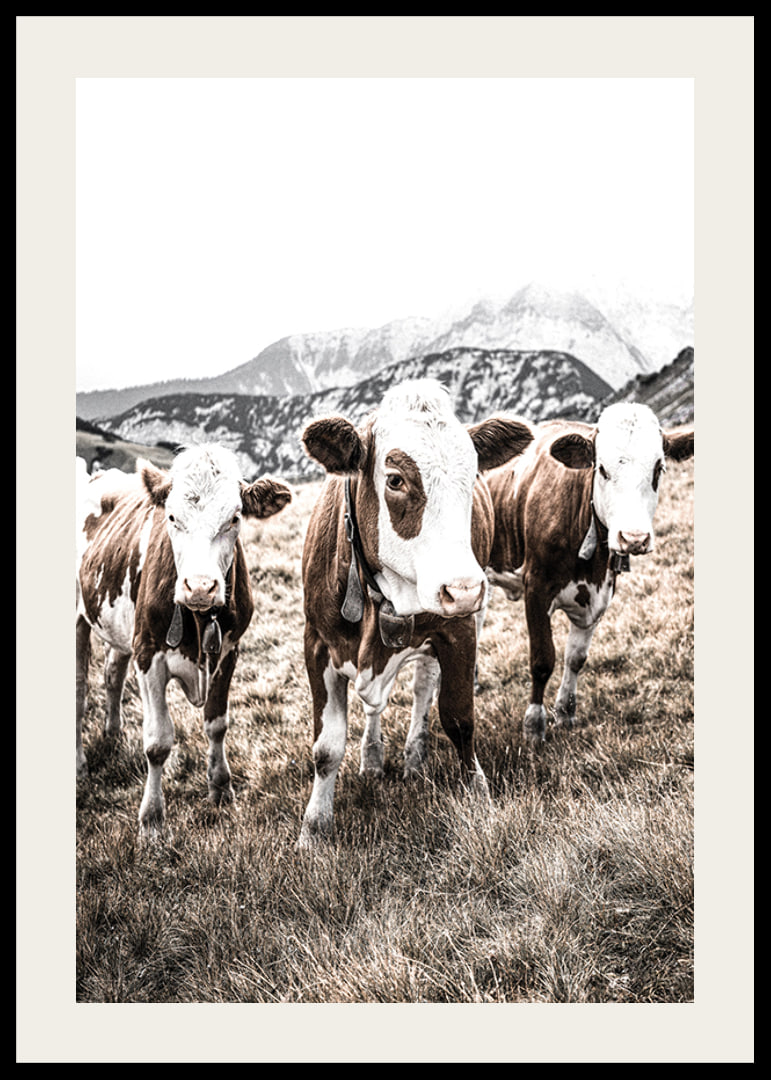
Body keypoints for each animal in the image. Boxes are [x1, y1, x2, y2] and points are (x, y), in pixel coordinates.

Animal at [76, 443, 292, 836]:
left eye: (235, 518)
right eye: (173, 517)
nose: (201, 587)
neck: (198, 618)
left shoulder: (228, 652)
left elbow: (217, 724)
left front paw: (221, 788)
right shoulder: (148, 655)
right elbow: (158, 742)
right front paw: (151, 820)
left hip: (120, 629)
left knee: (112, 674)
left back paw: (113, 735)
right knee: (79, 693)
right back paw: (79, 766)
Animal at [296, 379, 535, 848]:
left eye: (473, 474)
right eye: (395, 479)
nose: (463, 589)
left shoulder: (459, 629)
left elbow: (459, 718)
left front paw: (478, 796)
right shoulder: (316, 643)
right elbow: (326, 747)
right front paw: (314, 827)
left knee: (425, 687)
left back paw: (414, 754)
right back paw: (373, 757)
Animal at [484, 401, 695, 744]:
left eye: (658, 469)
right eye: (602, 469)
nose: (634, 538)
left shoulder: (600, 595)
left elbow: (576, 658)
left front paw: (566, 712)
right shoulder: (536, 587)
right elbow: (542, 659)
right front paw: (534, 725)